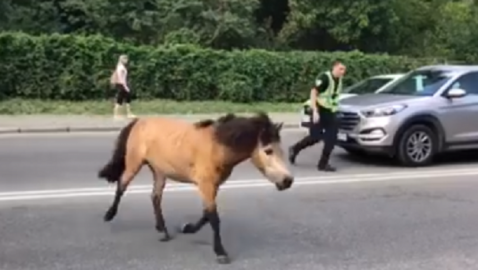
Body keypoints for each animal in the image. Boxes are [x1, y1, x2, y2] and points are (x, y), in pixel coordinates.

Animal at [97, 111, 294, 264]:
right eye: (268, 150)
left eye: (281, 150)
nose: (287, 181)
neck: (216, 146)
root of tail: (138, 122)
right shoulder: (205, 185)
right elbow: (213, 217)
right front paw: (220, 252)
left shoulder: (213, 185)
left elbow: (207, 214)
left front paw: (188, 228)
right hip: (134, 163)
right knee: (122, 185)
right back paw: (109, 214)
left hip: (159, 172)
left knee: (155, 197)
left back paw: (163, 230)